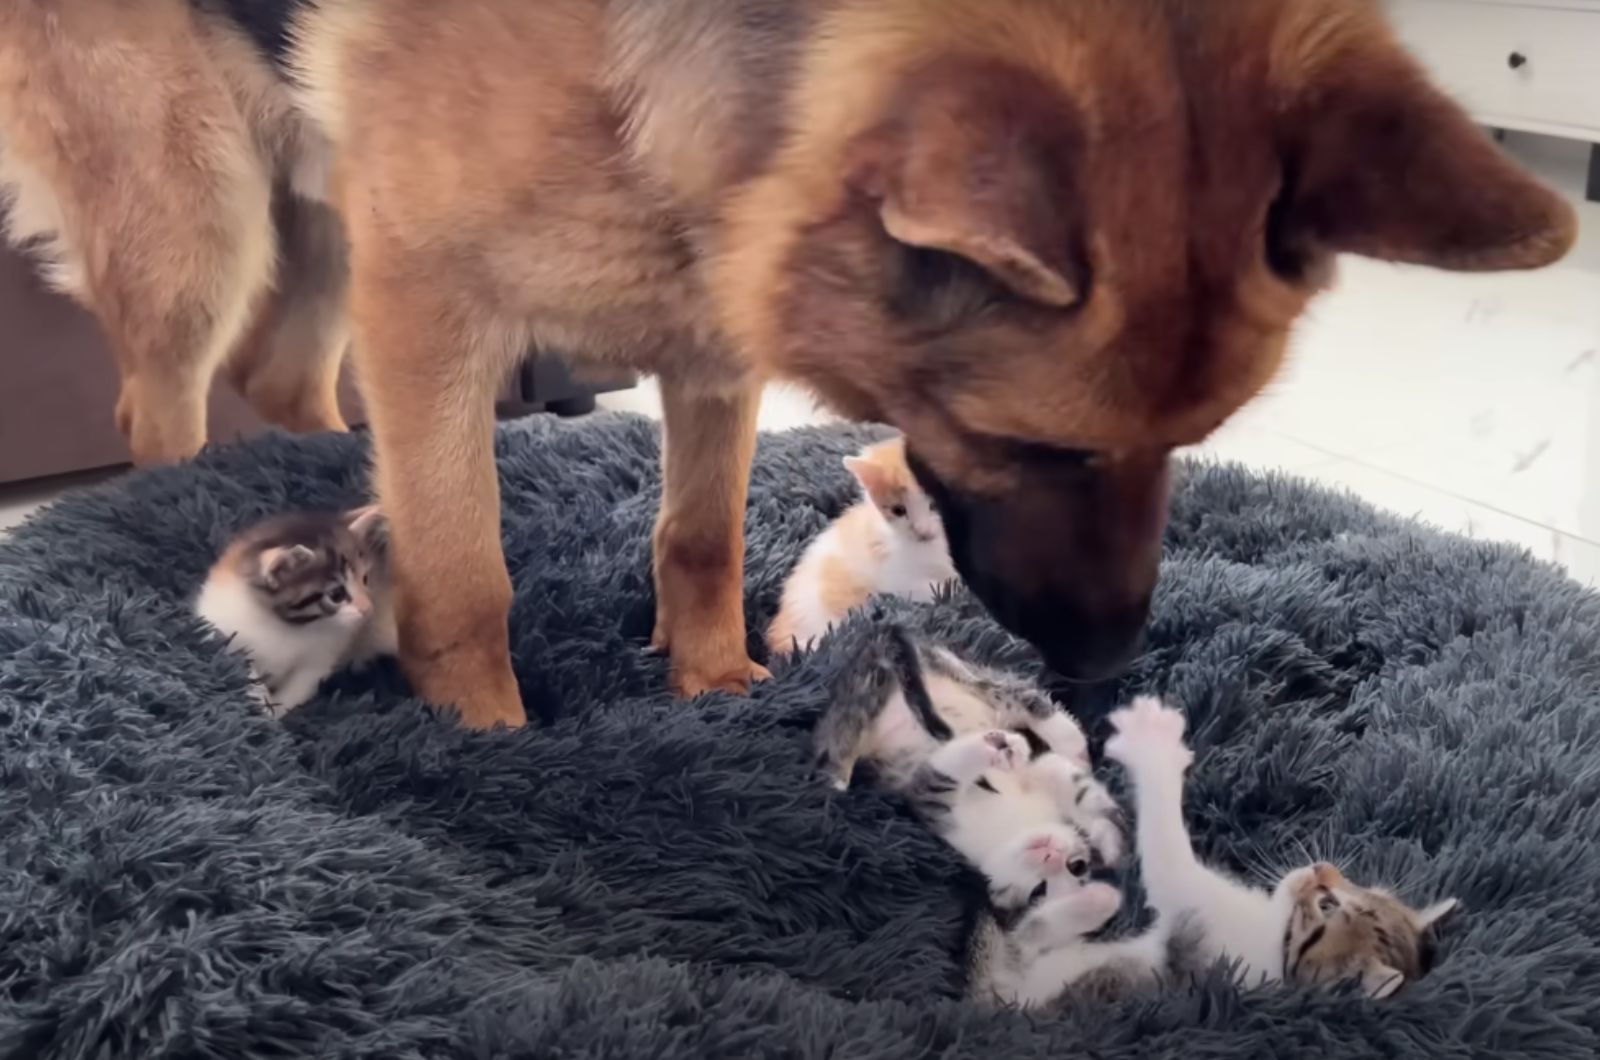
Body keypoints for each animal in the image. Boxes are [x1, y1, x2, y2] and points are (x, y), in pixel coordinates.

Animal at [195, 509, 398, 723]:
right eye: (336, 595)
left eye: (365, 579)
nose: (368, 608)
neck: (287, 625)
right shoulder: (218, 625)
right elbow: (239, 664)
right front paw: (261, 700)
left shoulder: (322, 656)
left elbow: (299, 686)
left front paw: (275, 713)